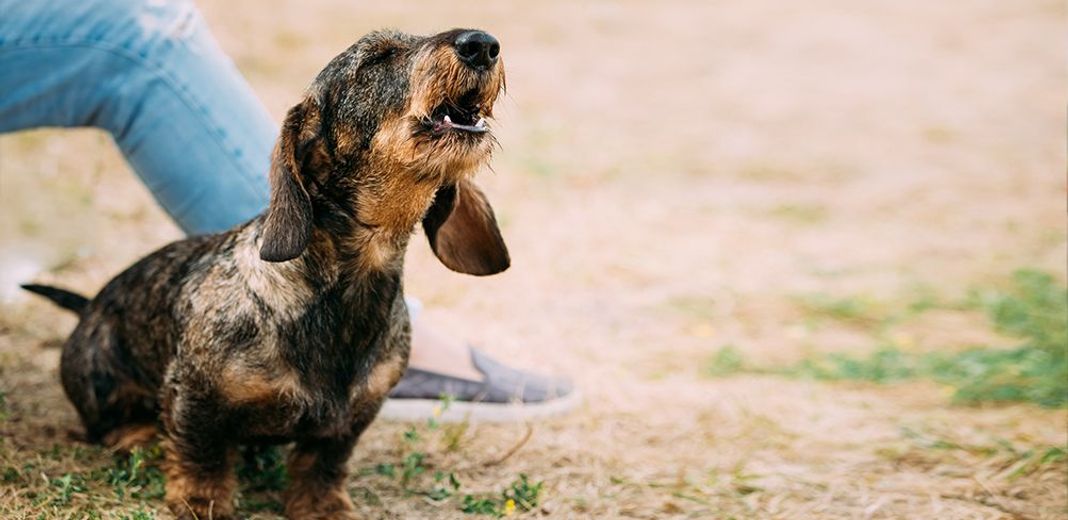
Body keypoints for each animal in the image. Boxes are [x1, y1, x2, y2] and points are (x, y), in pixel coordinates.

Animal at [24, 29, 508, 520]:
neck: (345, 290)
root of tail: (89, 307)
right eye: (376, 58)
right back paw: (139, 437)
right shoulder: (193, 394)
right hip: (101, 376)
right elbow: (202, 453)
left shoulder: (353, 416)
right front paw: (201, 500)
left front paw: (323, 505)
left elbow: (324, 462)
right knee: (107, 424)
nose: (482, 43)